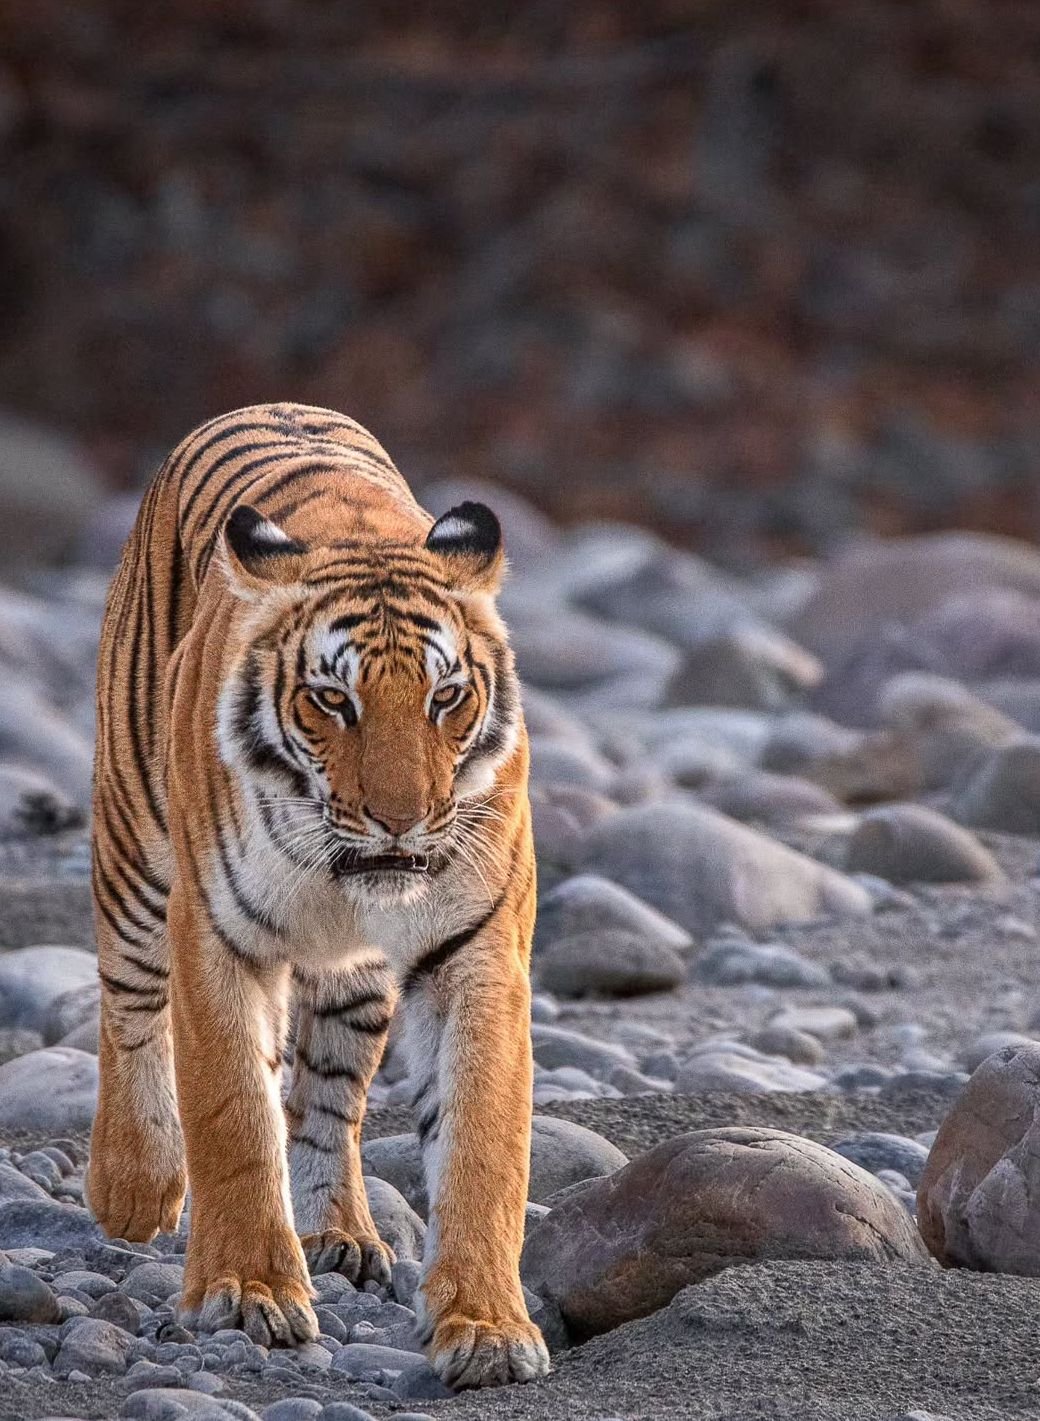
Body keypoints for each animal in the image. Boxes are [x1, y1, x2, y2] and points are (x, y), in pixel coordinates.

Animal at [85, 402, 550, 1389]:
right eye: (333, 700)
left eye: (447, 697)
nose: (399, 820)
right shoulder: (216, 935)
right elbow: (230, 1112)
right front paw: (245, 1292)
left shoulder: (477, 955)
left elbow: (482, 1142)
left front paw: (488, 1327)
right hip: (134, 844)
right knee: (129, 1001)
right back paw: (133, 1183)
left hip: (358, 977)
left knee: (326, 1094)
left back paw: (339, 1233)